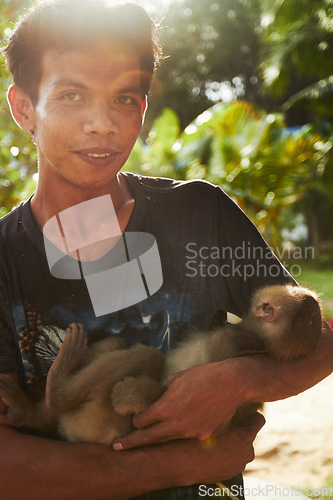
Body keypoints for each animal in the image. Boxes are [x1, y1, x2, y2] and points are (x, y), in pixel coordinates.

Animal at [0, 286, 322, 446]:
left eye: (270, 309)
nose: (261, 307)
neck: (254, 337)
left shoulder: (228, 342)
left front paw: (132, 397)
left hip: (96, 422)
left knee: (147, 358)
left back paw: (57, 390)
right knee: (116, 346)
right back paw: (29, 413)